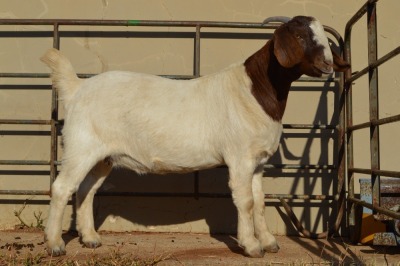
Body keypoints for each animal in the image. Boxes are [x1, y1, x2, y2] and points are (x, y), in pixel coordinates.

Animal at [39, 16, 346, 258]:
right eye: (299, 36)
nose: (328, 64)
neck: (254, 90)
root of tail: (77, 88)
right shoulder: (240, 158)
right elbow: (245, 201)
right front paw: (251, 246)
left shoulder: (257, 162)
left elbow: (259, 201)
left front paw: (269, 242)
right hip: (81, 146)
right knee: (62, 188)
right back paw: (55, 244)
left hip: (103, 157)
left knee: (86, 190)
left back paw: (90, 238)